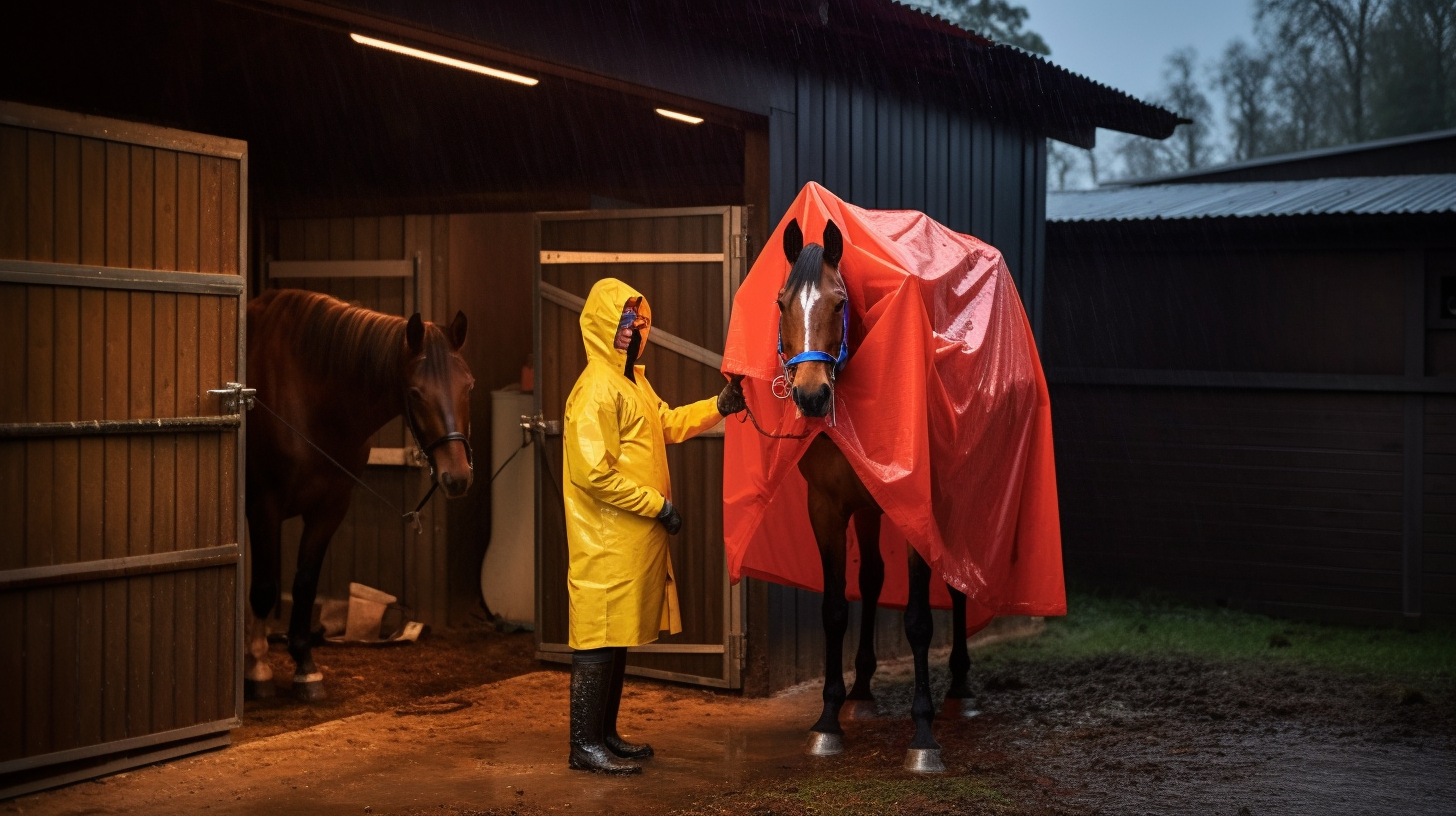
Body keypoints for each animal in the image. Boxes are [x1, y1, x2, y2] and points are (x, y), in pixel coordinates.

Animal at [244, 288, 471, 702]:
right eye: (416, 392)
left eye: (470, 386)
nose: (457, 477)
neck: (306, 394)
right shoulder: (264, 507)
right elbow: (266, 587)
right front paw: (259, 668)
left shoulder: (329, 509)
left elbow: (304, 583)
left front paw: (305, 667)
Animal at [722, 181, 1065, 635]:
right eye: (780, 303)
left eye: (839, 303)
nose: (812, 395)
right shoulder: (828, 507)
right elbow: (836, 609)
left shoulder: (917, 512)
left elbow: (919, 619)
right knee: (872, 576)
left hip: (958, 511)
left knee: (958, 586)